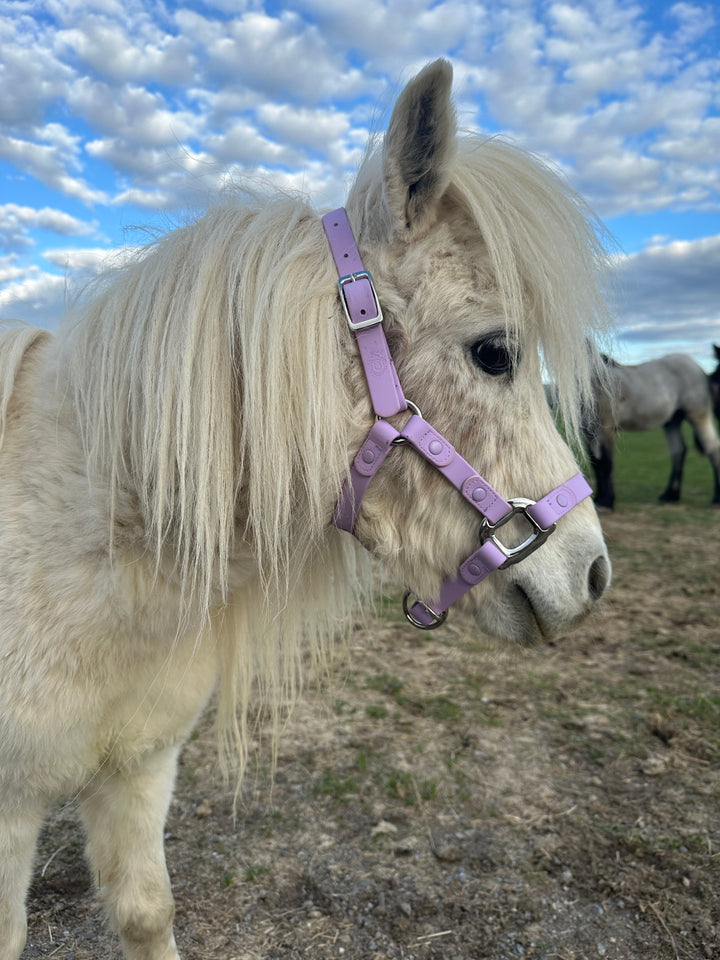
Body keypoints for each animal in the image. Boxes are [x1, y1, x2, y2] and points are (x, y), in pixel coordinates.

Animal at [0, 60, 612, 960]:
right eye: (495, 353)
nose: (593, 572)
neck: (90, 534)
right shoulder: (12, 812)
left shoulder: (138, 767)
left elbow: (147, 911)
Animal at [585, 351, 720, 509]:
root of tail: (698, 368)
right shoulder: (587, 433)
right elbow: (596, 463)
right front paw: (598, 500)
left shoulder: (605, 429)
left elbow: (606, 464)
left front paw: (606, 502)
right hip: (672, 422)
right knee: (678, 451)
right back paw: (670, 495)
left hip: (699, 416)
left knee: (713, 448)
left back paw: (716, 499)